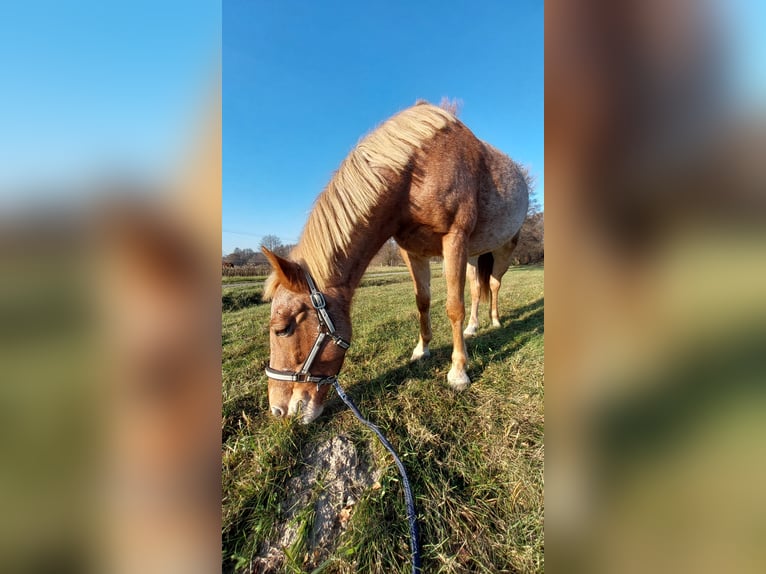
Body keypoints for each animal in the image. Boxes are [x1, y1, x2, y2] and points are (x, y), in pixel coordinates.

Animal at [262, 101, 528, 424]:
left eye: (283, 328)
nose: (278, 409)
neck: (416, 173)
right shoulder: (412, 252)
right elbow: (423, 302)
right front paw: (422, 349)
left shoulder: (455, 239)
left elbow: (454, 307)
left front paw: (458, 373)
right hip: (475, 255)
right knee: (478, 289)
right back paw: (474, 327)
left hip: (503, 249)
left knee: (494, 285)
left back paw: (496, 320)